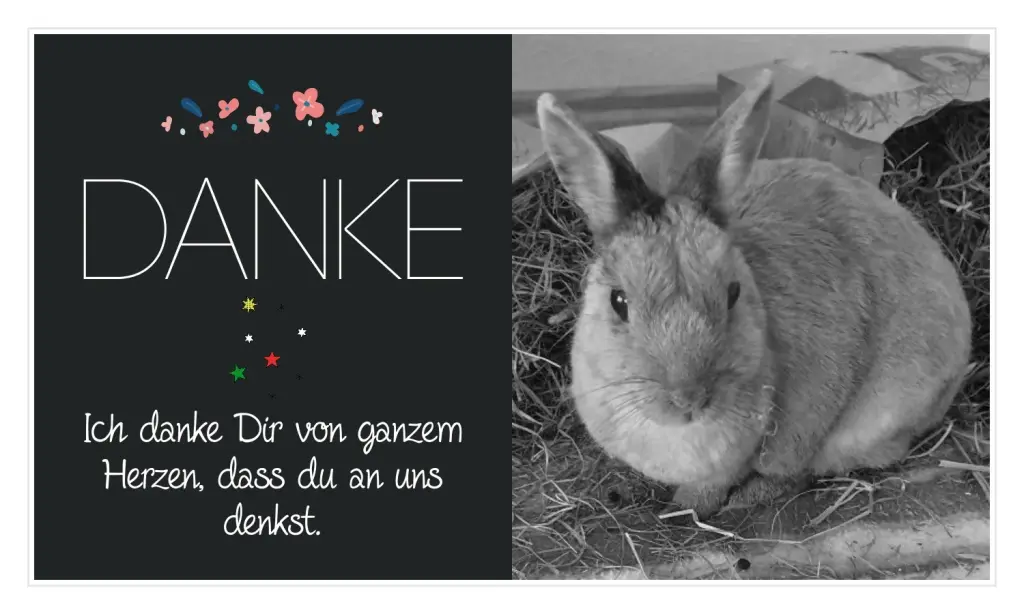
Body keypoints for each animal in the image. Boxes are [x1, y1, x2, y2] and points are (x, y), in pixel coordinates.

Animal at [536, 69, 972, 520]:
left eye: (733, 293)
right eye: (618, 301)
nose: (689, 398)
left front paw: (691, 508)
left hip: (868, 424)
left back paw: (747, 499)